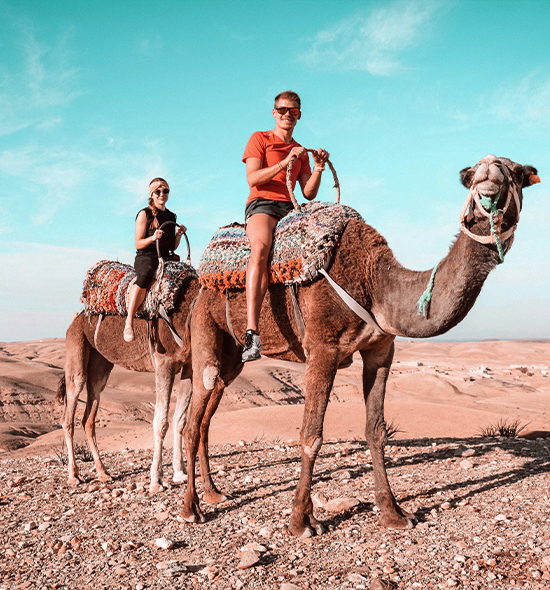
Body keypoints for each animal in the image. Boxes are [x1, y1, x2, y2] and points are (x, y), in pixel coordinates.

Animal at [58, 276, 202, 494]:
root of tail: (76, 319)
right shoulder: (165, 361)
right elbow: (161, 422)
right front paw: (156, 481)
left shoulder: (188, 366)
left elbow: (180, 419)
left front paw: (180, 473)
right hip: (77, 345)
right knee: (70, 410)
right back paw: (74, 476)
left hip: (100, 364)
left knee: (89, 415)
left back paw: (103, 473)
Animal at [182, 155, 544, 540]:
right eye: (472, 176)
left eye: (516, 173)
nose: (489, 182)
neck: (375, 282)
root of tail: (203, 280)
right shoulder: (322, 348)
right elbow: (311, 435)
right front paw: (301, 521)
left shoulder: (381, 350)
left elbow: (377, 432)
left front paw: (393, 512)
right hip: (205, 327)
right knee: (195, 414)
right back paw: (191, 509)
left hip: (232, 355)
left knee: (207, 414)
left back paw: (213, 493)